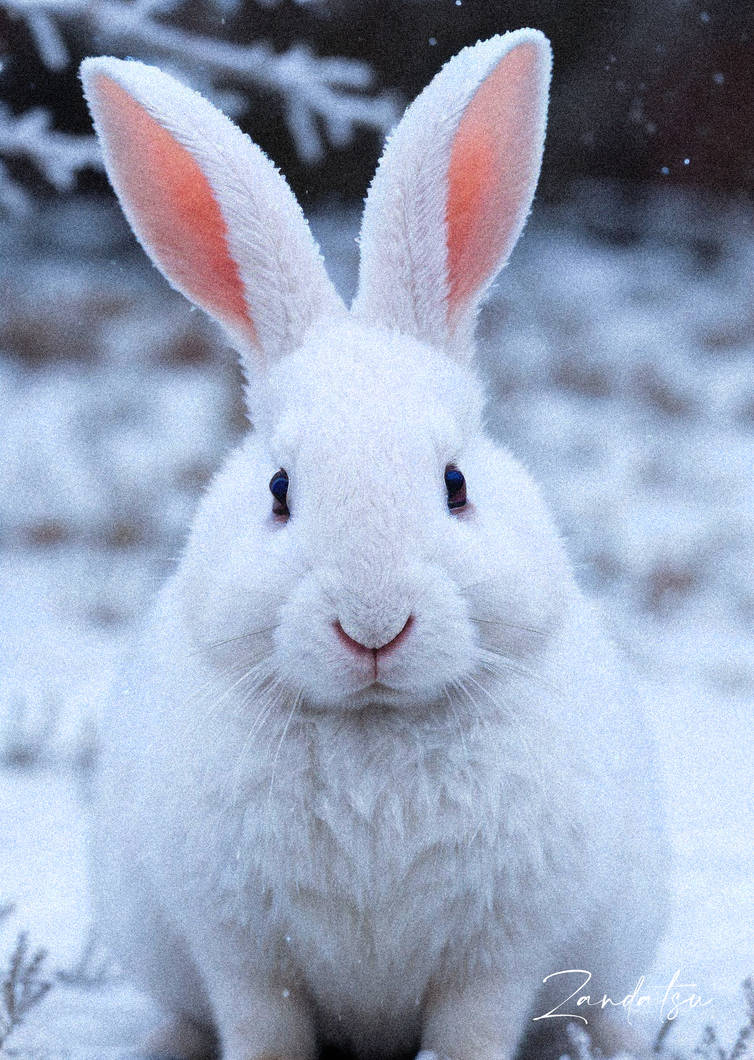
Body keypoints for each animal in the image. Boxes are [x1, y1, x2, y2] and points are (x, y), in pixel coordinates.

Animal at [80, 28, 668, 1060]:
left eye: (456, 485)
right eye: (279, 491)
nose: (373, 624)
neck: (374, 729)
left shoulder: (496, 953)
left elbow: (472, 1027)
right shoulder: (243, 953)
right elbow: (261, 1025)